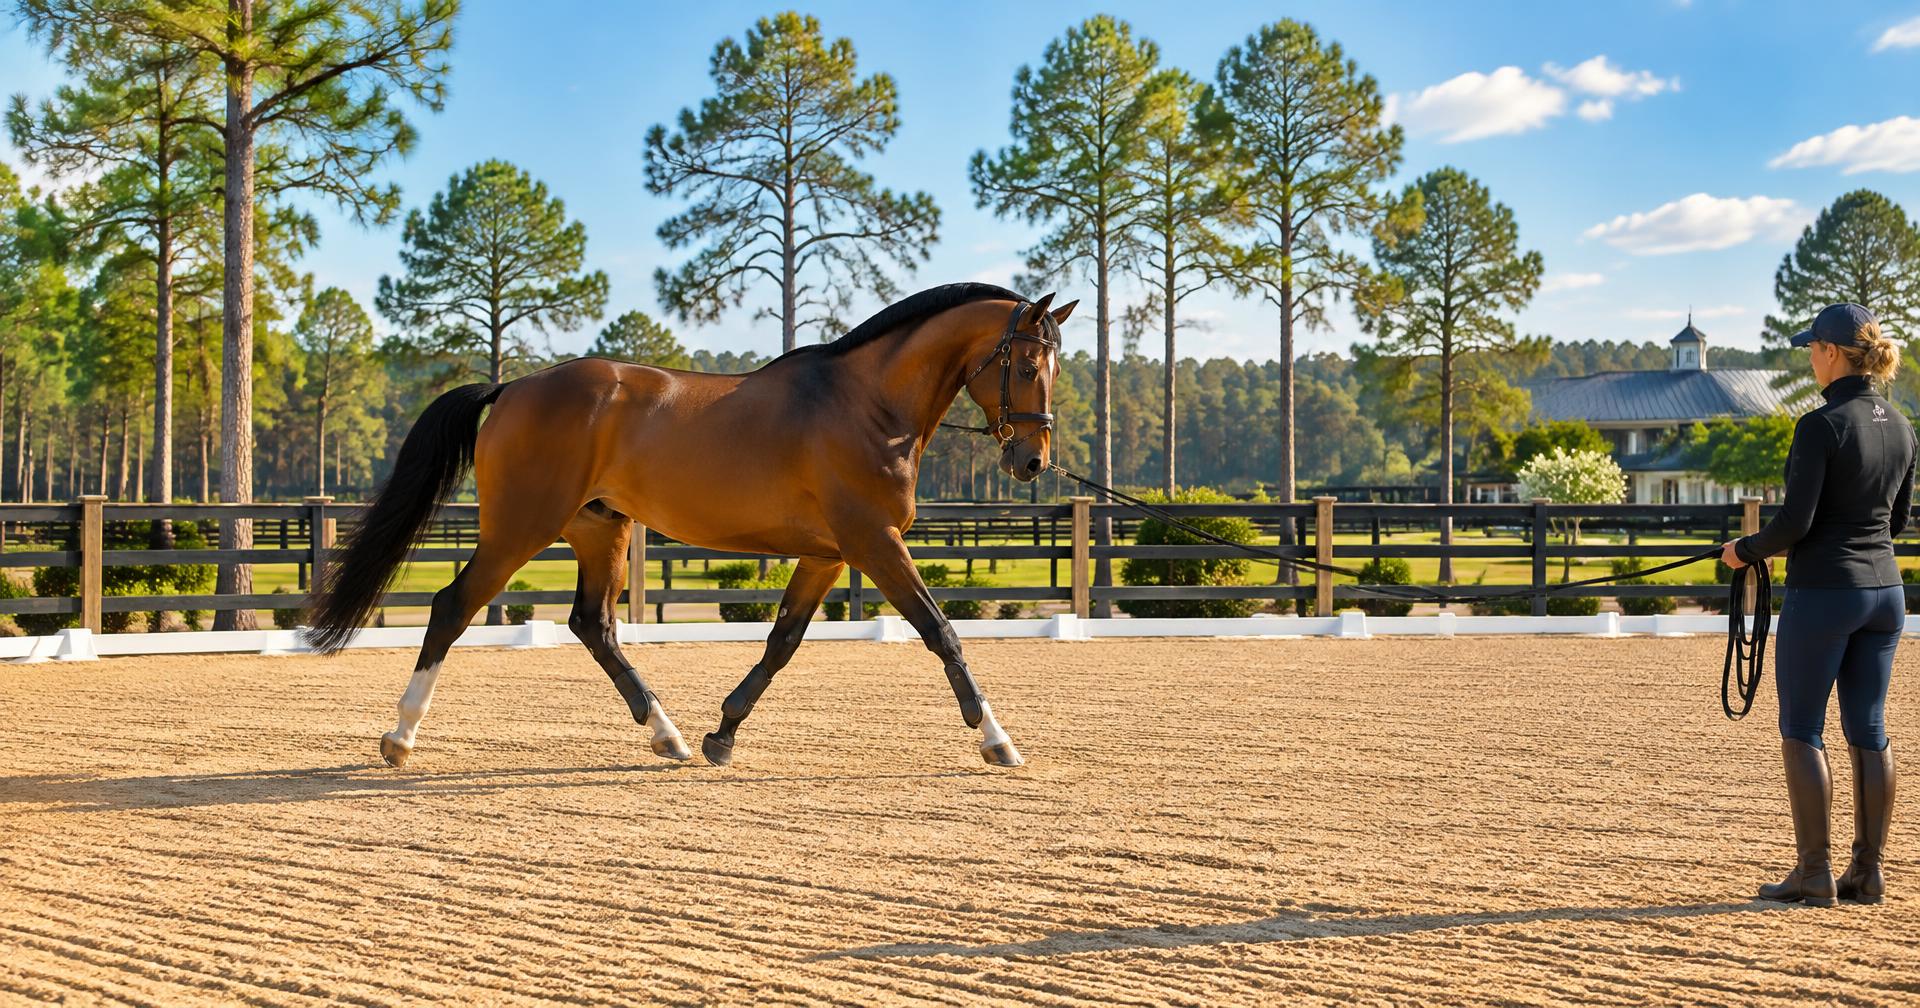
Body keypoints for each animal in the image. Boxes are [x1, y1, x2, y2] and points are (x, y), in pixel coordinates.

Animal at [302, 283, 1075, 771]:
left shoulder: (827, 556)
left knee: (593, 626)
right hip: (520, 529)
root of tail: (514, 387)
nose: (1033, 460)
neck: (866, 405)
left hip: (601, 532)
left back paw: (667, 736)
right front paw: (998, 742)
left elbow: (781, 643)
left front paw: (721, 734)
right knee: (451, 608)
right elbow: (942, 634)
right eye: (1026, 362)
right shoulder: (875, 544)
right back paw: (400, 737)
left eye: (1055, 365)